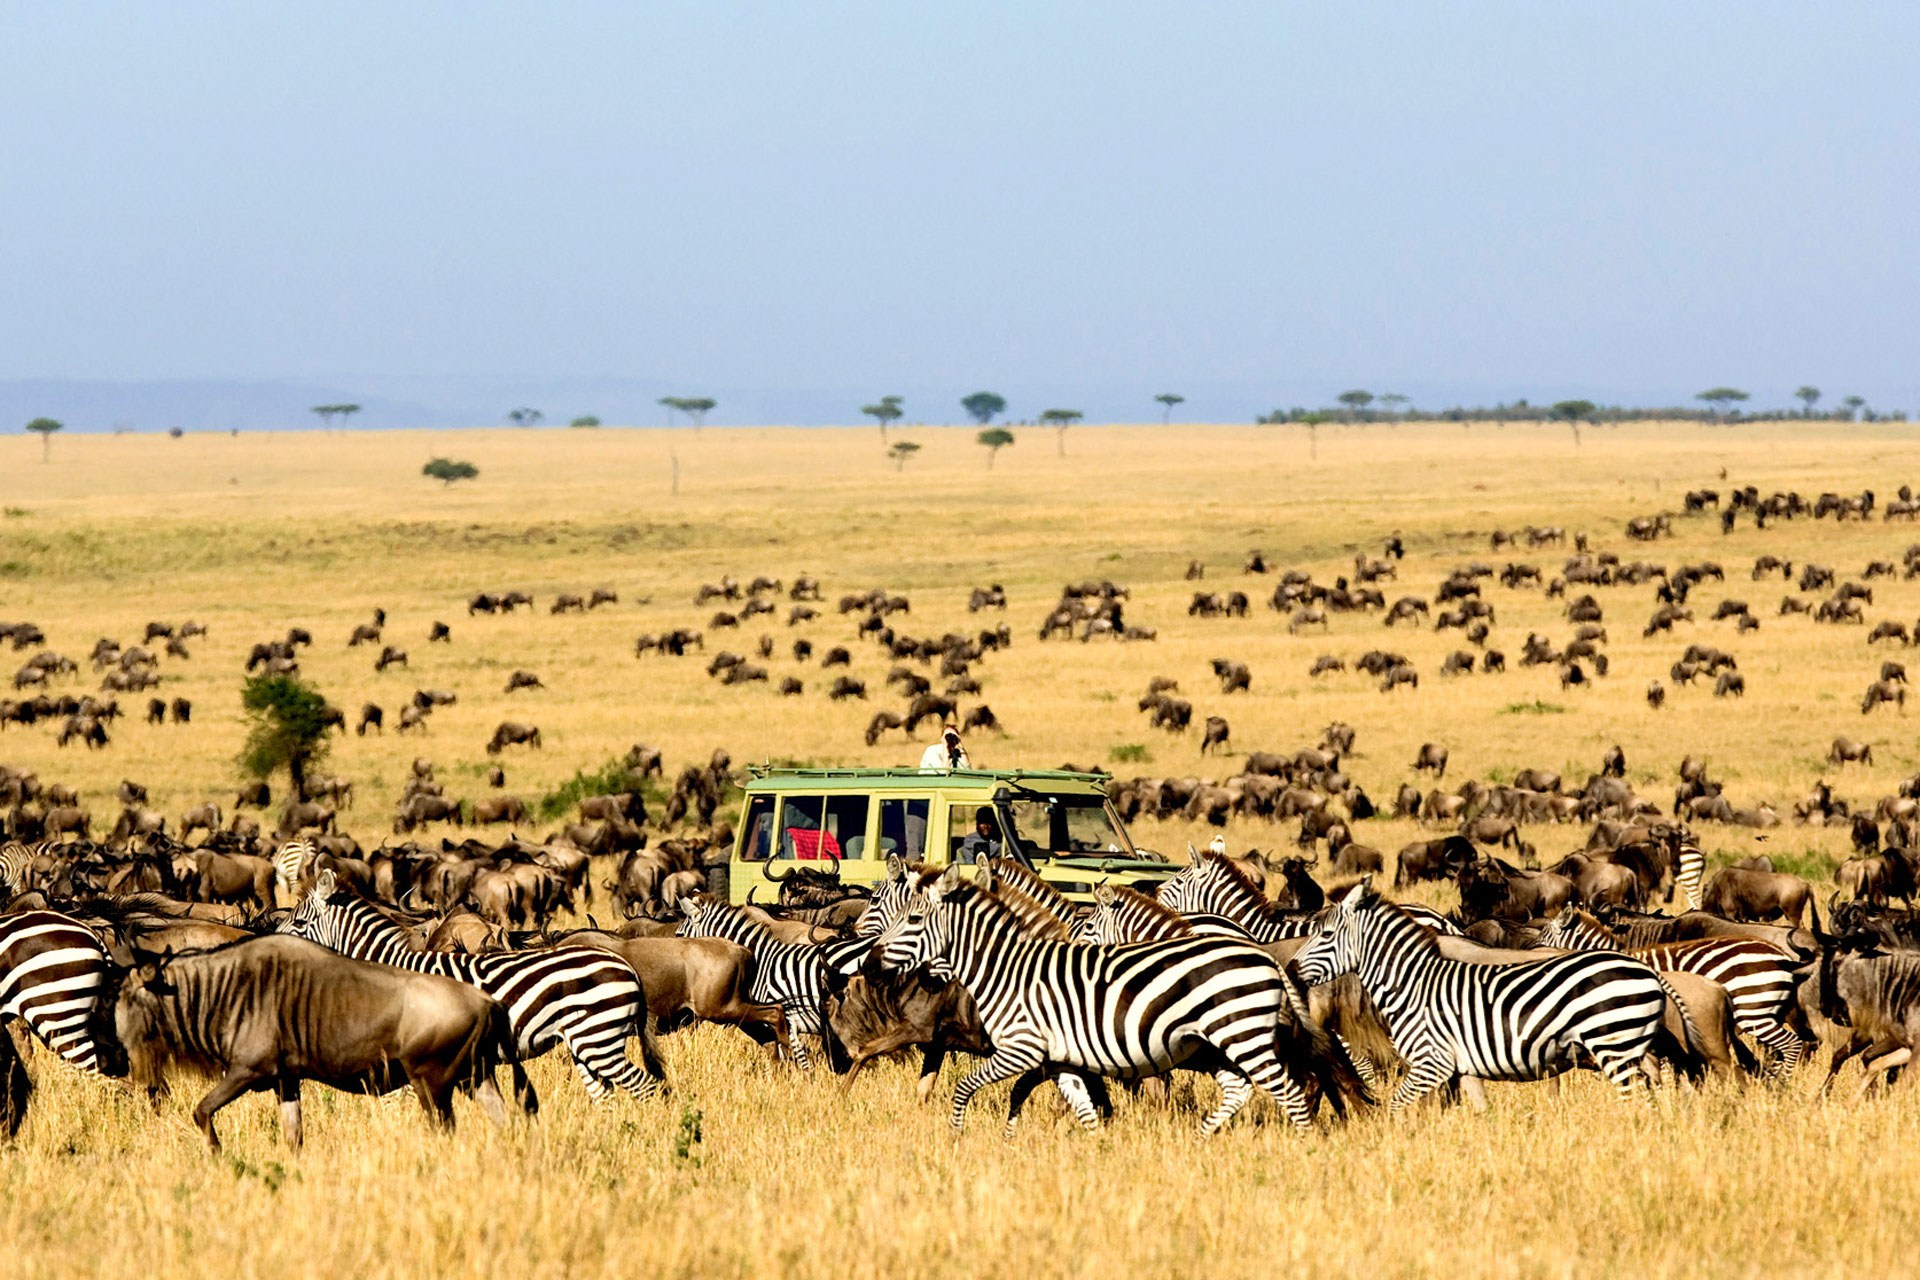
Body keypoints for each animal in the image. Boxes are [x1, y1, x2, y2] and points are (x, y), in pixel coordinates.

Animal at [284, 871, 668, 1113]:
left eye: (299, 923)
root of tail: (625, 965)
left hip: (599, 1038)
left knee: (648, 1087)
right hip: (585, 1044)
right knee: (608, 1097)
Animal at [875, 867, 1336, 1136]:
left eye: (912, 919)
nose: (874, 961)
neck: (1006, 969)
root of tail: (1264, 955)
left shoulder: (1022, 1049)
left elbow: (964, 1087)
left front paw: (955, 1137)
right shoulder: (1060, 1058)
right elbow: (1083, 1109)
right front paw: (1095, 1151)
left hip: (1241, 1034)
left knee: (1290, 1092)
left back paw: (1305, 1148)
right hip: (1219, 1042)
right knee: (1240, 1089)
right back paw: (1202, 1139)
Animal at [1297, 882, 1674, 1113]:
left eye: (1325, 935)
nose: (1291, 967)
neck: (1414, 982)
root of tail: (1646, 971)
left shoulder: (1431, 1061)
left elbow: (1404, 1105)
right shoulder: (1459, 1064)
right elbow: (1476, 1109)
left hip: (1615, 1044)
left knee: (1640, 1090)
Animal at [1536, 909, 1804, 1082]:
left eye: (1542, 937)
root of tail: (1783, 956)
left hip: (1754, 1012)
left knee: (1792, 1044)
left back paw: (1784, 1085)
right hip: (1771, 1013)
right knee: (1779, 1051)